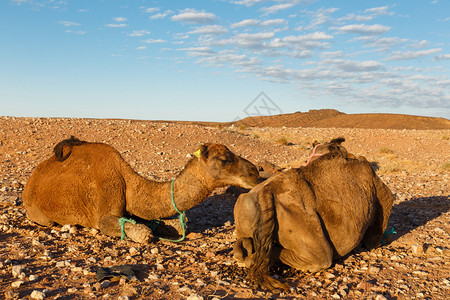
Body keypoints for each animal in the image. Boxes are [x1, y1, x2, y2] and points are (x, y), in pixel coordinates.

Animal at [22, 137, 260, 243]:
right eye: (224, 159)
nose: (255, 172)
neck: (130, 185)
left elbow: (173, 223)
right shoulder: (103, 213)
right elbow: (143, 232)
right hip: (38, 214)